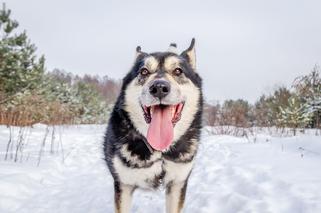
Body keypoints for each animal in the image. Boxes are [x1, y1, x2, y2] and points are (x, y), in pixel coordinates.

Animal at [104, 38, 201, 213]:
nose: (159, 88)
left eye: (178, 71)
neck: (160, 153)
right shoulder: (124, 185)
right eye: (144, 72)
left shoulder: (177, 184)